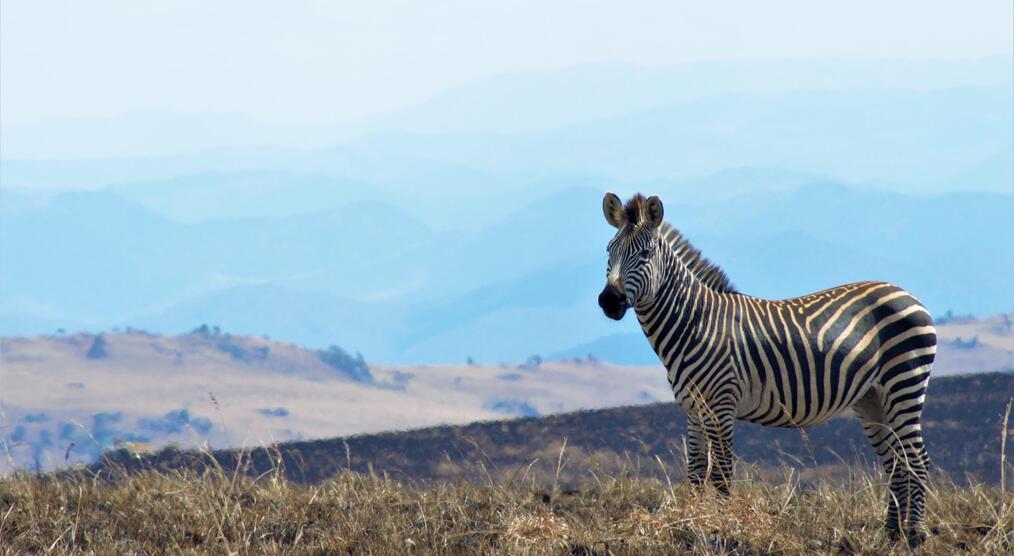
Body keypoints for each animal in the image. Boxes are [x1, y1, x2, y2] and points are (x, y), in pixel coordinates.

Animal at [596, 191, 936, 547]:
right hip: (872, 398)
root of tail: (908, 294)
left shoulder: (721, 404)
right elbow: (696, 473)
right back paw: (891, 535)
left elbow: (721, 475)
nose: (609, 301)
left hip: (904, 384)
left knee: (917, 459)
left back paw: (916, 534)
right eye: (609, 250)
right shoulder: (693, 408)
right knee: (896, 462)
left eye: (645, 254)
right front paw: (693, 525)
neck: (696, 323)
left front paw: (721, 529)